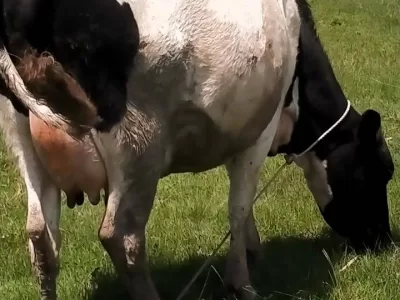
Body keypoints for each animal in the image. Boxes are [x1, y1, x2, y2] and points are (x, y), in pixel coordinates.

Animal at [0, 0, 394, 300]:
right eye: (382, 171)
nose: (384, 242)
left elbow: (244, 208)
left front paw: (253, 249)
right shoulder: (260, 132)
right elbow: (239, 205)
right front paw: (242, 283)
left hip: (23, 138)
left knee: (40, 236)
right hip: (139, 145)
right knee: (121, 236)